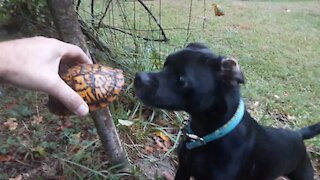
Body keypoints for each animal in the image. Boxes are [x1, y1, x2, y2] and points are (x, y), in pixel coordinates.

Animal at [133, 43, 320, 179]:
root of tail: (297, 134)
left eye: (181, 79)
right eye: (165, 64)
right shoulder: (184, 169)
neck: (207, 133)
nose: (138, 77)